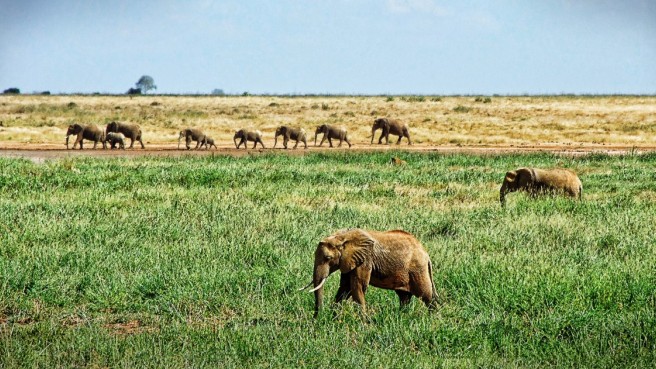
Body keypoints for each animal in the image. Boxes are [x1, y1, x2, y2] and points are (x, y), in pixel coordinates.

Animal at [302, 227, 436, 316]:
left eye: (328, 258)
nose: (317, 318)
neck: (343, 236)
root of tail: (426, 254)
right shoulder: (349, 261)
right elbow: (345, 287)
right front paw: (333, 317)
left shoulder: (365, 260)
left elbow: (358, 287)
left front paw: (363, 324)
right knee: (404, 297)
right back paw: (402, 317)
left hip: (417, 269)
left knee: (427, 296)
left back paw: (432, 319)